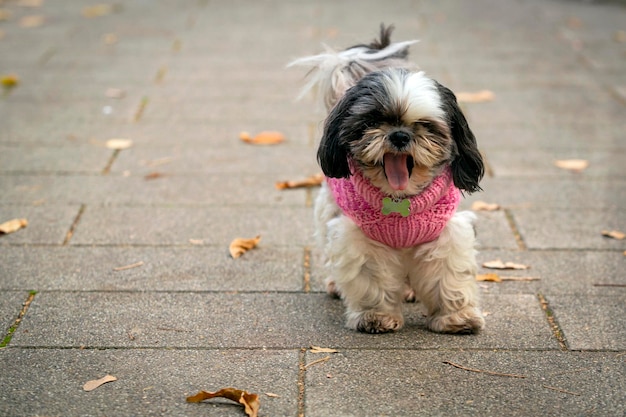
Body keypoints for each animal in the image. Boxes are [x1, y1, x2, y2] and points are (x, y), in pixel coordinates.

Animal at [290, 24, 486, 334]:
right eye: (372, 122)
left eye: (425, 125)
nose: (400, 135)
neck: (399, 199)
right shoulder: (359, 238)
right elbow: (371, 279)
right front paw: (376, 316)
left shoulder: (446, 234)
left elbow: (448, 277)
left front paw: (456, 317)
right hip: (327, 211)